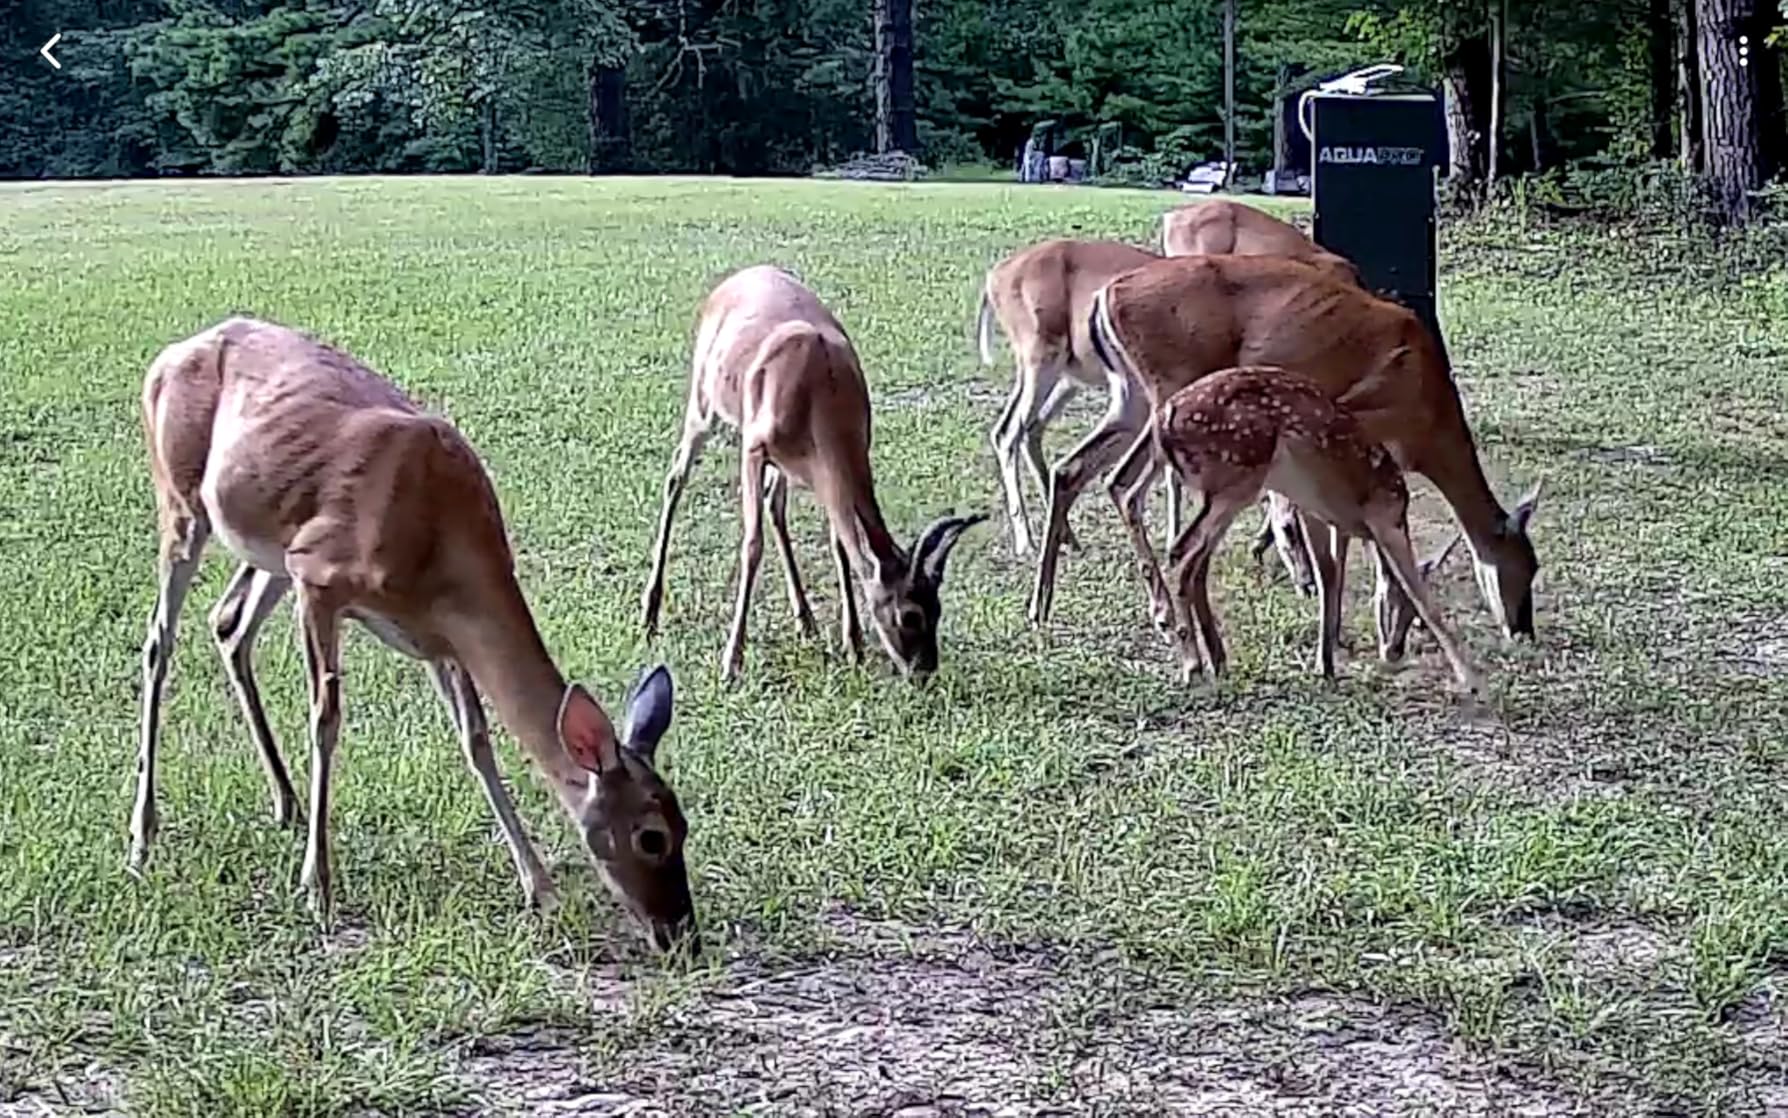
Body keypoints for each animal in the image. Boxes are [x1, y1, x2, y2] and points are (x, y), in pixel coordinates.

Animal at [134, 317, 697, 953]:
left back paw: (286, 803)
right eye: (651, 836)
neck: (439, 548)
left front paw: (542, 888)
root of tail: (167, 356)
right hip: (183, 502)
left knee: (228, 624)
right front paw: (317, 887)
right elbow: (326, 720)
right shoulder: (321, 576)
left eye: (685, 825)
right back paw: (142, 836)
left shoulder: (437, 638)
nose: (682, 934)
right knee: (159, 640)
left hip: (270, 549)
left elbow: (476, 741)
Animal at [642, 265, 984, 683]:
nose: (924, 671)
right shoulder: (753, 449)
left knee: (774, 505)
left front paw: (853, 645)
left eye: (937, 607)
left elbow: (838, 542)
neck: (820, 387)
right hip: (703, 406)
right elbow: (752, 545)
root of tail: (732, 281)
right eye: (909, 614)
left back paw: (806, 621)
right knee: (676, 478)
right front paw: (731, 664)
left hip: (783, 463)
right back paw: (649, 615)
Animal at [1026, 254, 1540, 658]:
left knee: (1075, 469)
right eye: (1525, 568)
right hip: (1171, 385)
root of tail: (1104, 298)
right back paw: (1167, 619)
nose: (1523, 629)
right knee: (1126, 484)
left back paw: (1043, 605)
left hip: (1130, 394)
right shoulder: (1356, 425)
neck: (1428, 414)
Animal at [1135, 366, 1483, 695]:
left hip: (1221, 488)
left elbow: (1330, 576)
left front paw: (1325, 665)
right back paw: (1193, 665)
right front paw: (1472, 680)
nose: (1394, 651)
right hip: (1237, 478)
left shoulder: (1321, 513)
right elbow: (1421, 594)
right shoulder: (1384, 520)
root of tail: (1165, 419)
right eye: (1401, 608)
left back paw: (1214, 660)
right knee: (1182, 554)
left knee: (1191, 559)